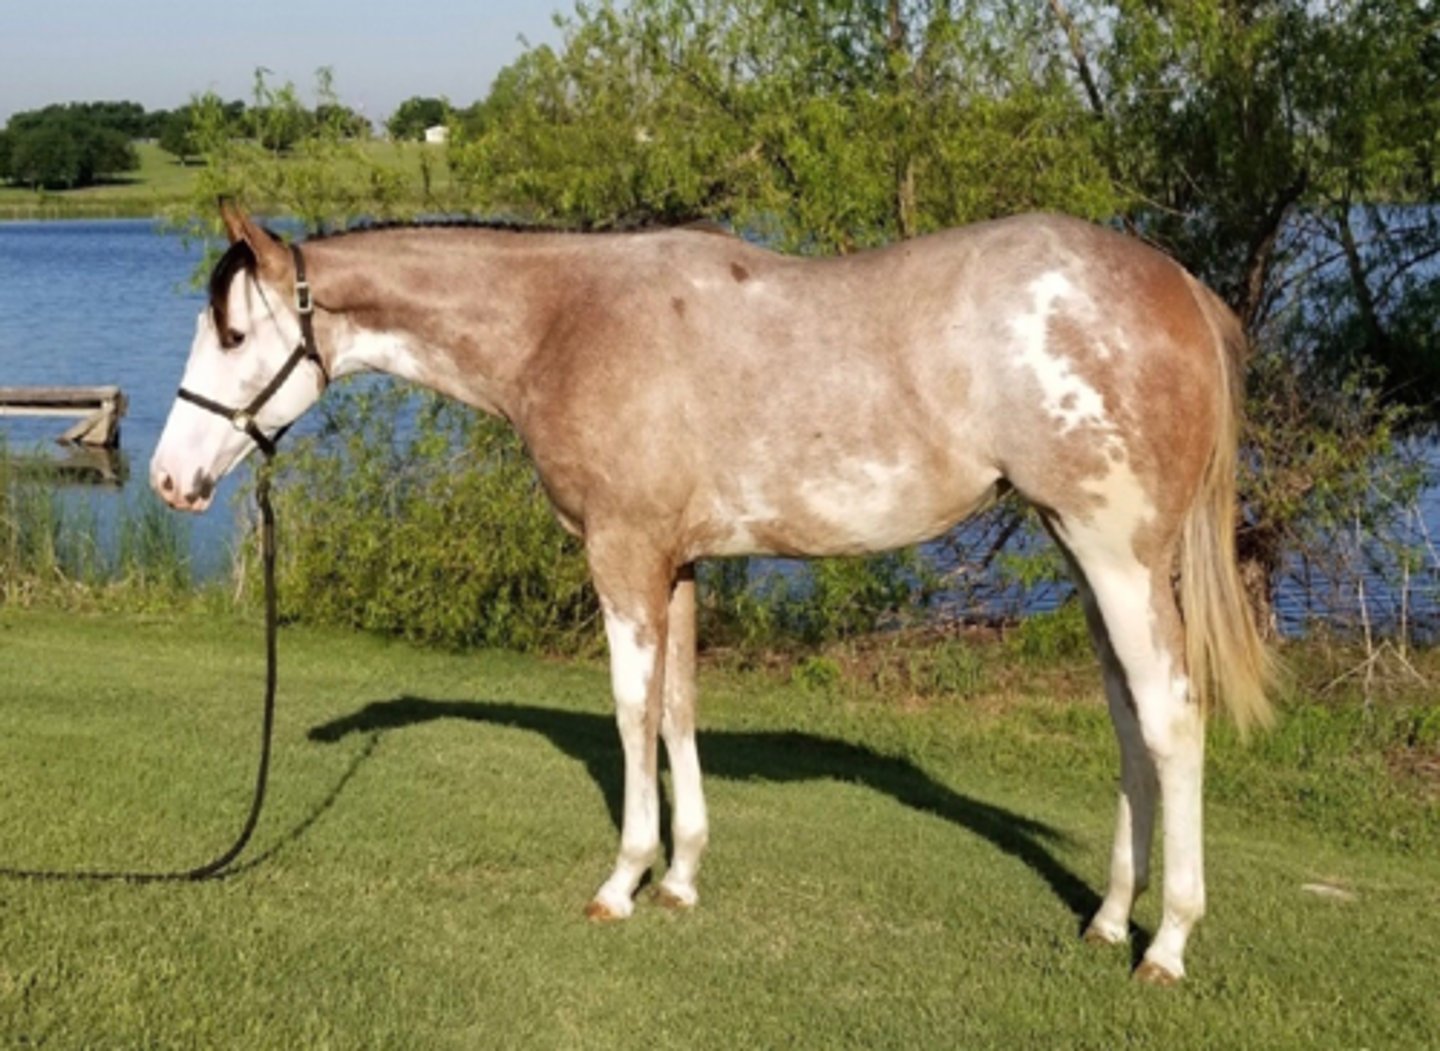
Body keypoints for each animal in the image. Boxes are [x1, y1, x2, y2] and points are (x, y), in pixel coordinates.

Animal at [151, 200, 1272, 985]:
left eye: (234, 338)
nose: (169, 479)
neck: (564, 322)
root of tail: (1178, 285)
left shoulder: (623, 555)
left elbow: (629, 708)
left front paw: (622, 881)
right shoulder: (677, 563)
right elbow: (678, 707)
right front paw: (682, 877)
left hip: (1118, 553)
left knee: (1173, 719)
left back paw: (1166, 943)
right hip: (1083, 553)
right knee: (1127, 721)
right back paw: (1107, 918)